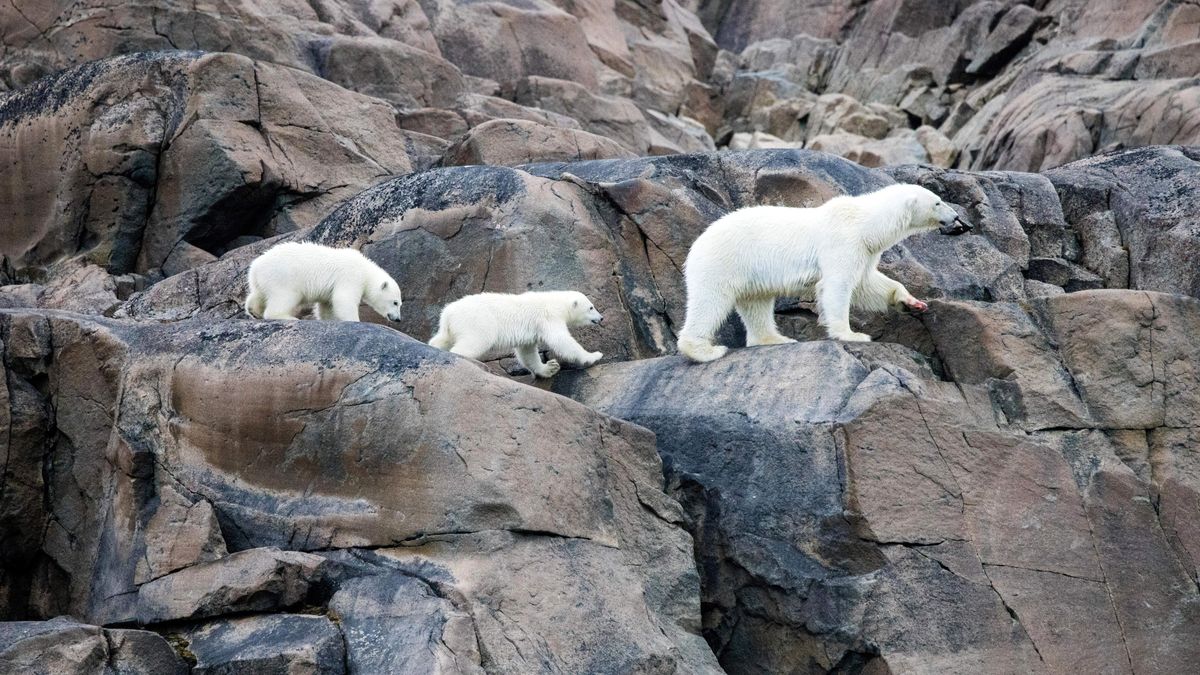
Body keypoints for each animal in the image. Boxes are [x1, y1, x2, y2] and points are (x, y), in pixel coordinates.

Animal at [242, 240, 403, 321]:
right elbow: (343, 299)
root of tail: (255, 267)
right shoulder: (351, 276)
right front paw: (355, 321)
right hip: (284, 276)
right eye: (395, 302)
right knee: (284, 297)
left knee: (258, 294)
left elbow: (328, 305)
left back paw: (254, 311)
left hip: (262, 279)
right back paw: (286, 317)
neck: (366, 270)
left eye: (400, 303)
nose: (398, 319)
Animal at [429, 288, 604, 374]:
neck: (556, 302)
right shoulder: (549, 316)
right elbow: (561, 340)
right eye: (591, 307)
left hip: (450, 328)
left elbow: (527, 352)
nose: (601, 318)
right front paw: (593, 356)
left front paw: (549, 368)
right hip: (477, 321)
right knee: (475, 342)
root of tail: (447, 313)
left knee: (441, 339)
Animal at [681, 183, 969, 360]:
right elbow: (838, 286)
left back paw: (775, 338)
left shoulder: (864, 250)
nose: (957, 217)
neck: (865, 223)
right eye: (938, 202)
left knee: (756, 303)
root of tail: (697, 243)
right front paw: (852, 334)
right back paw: (704, 350)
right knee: (710, 301)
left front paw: (912, 302)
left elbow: (867, 283)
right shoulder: (843, 241)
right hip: (723, 261)